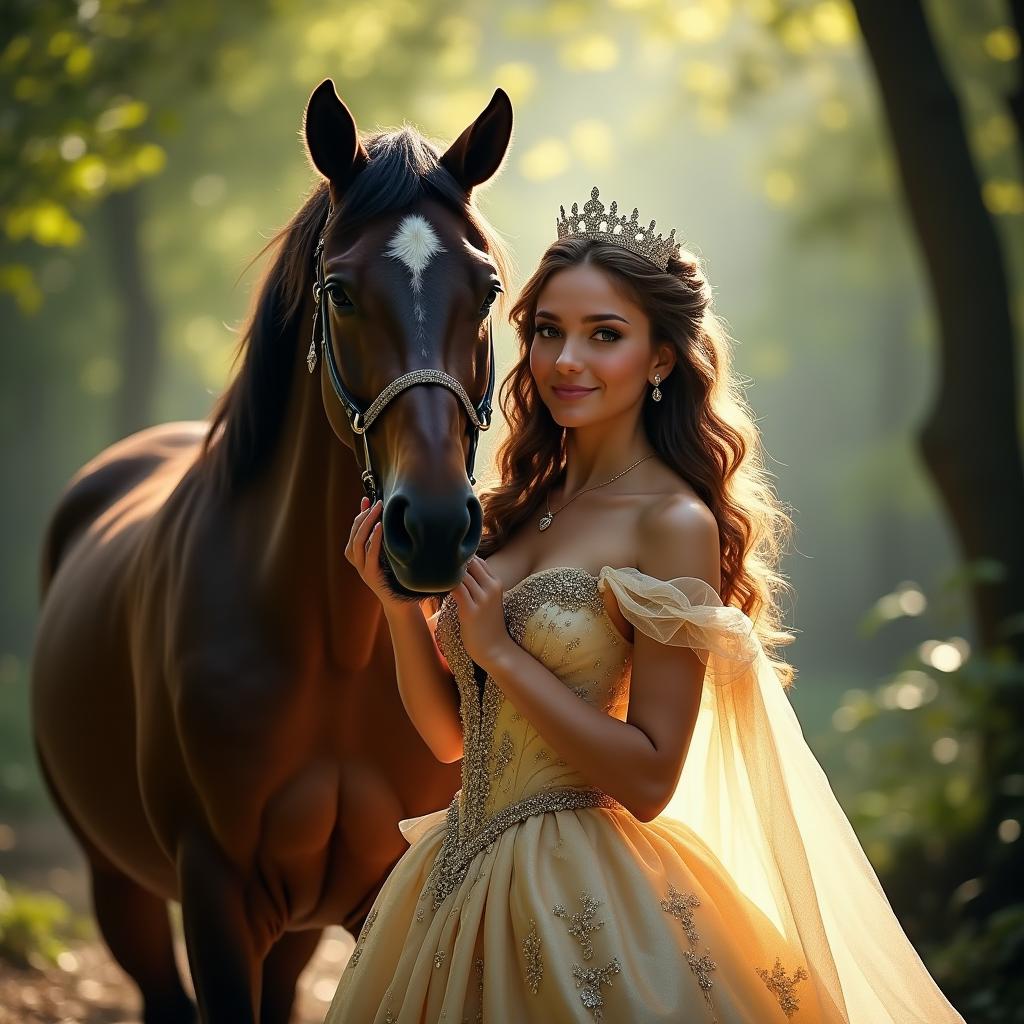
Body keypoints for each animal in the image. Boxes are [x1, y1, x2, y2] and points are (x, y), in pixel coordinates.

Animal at [29, 81, 516, 1024]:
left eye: (487, 290)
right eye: (341, 292)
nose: (435, 528)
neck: (330, 648)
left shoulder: (374, 893)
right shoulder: (216, 892)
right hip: (120, 886)